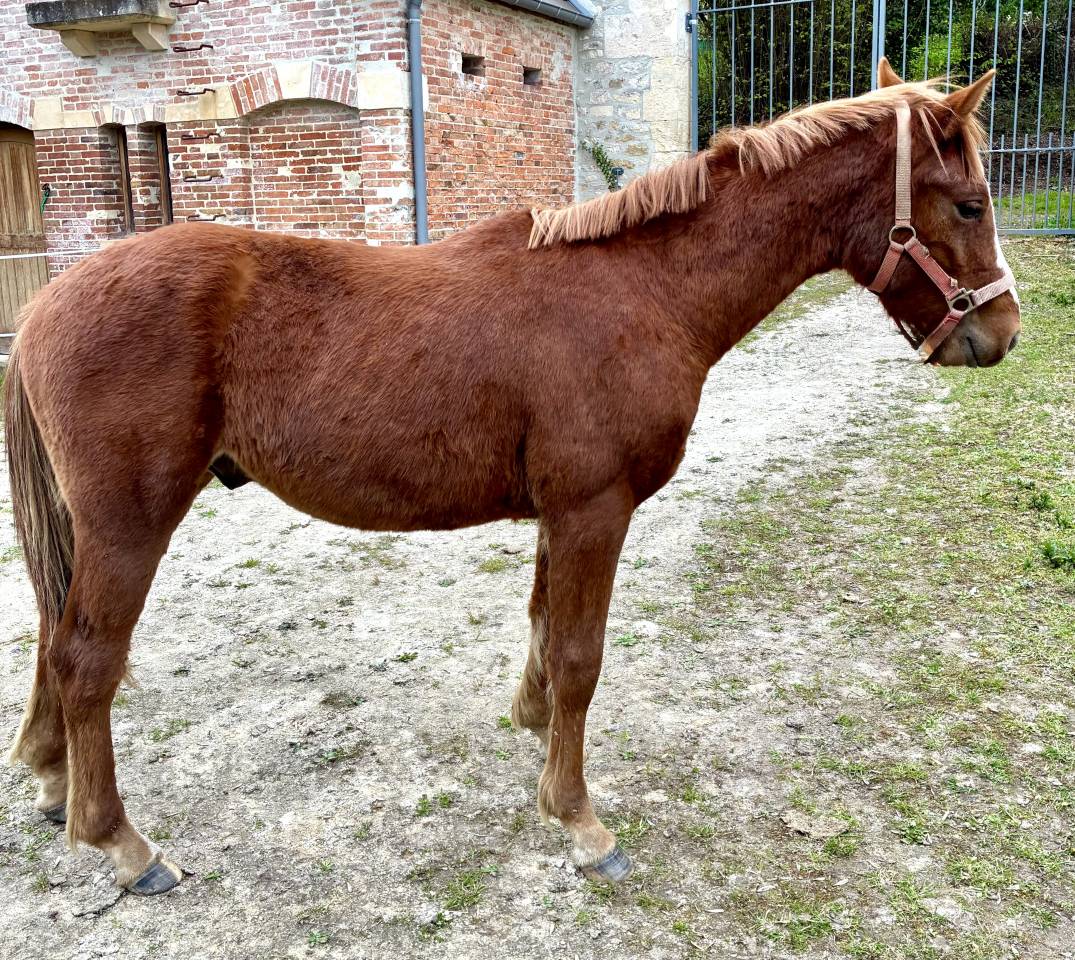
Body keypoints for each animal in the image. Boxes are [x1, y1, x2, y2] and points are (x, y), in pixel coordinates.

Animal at [3, 59, 1019, 895]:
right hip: (129, 525)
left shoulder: (556, 513)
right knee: (87, 659)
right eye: (968, 203)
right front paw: (578, 819)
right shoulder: (593, 510)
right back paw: (122, 844)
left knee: (56, 638)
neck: (644, 289)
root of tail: (48, 302)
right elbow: (580, 658)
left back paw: (53, 781)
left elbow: (541, 632)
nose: (1001, 334)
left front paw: (531, 729)